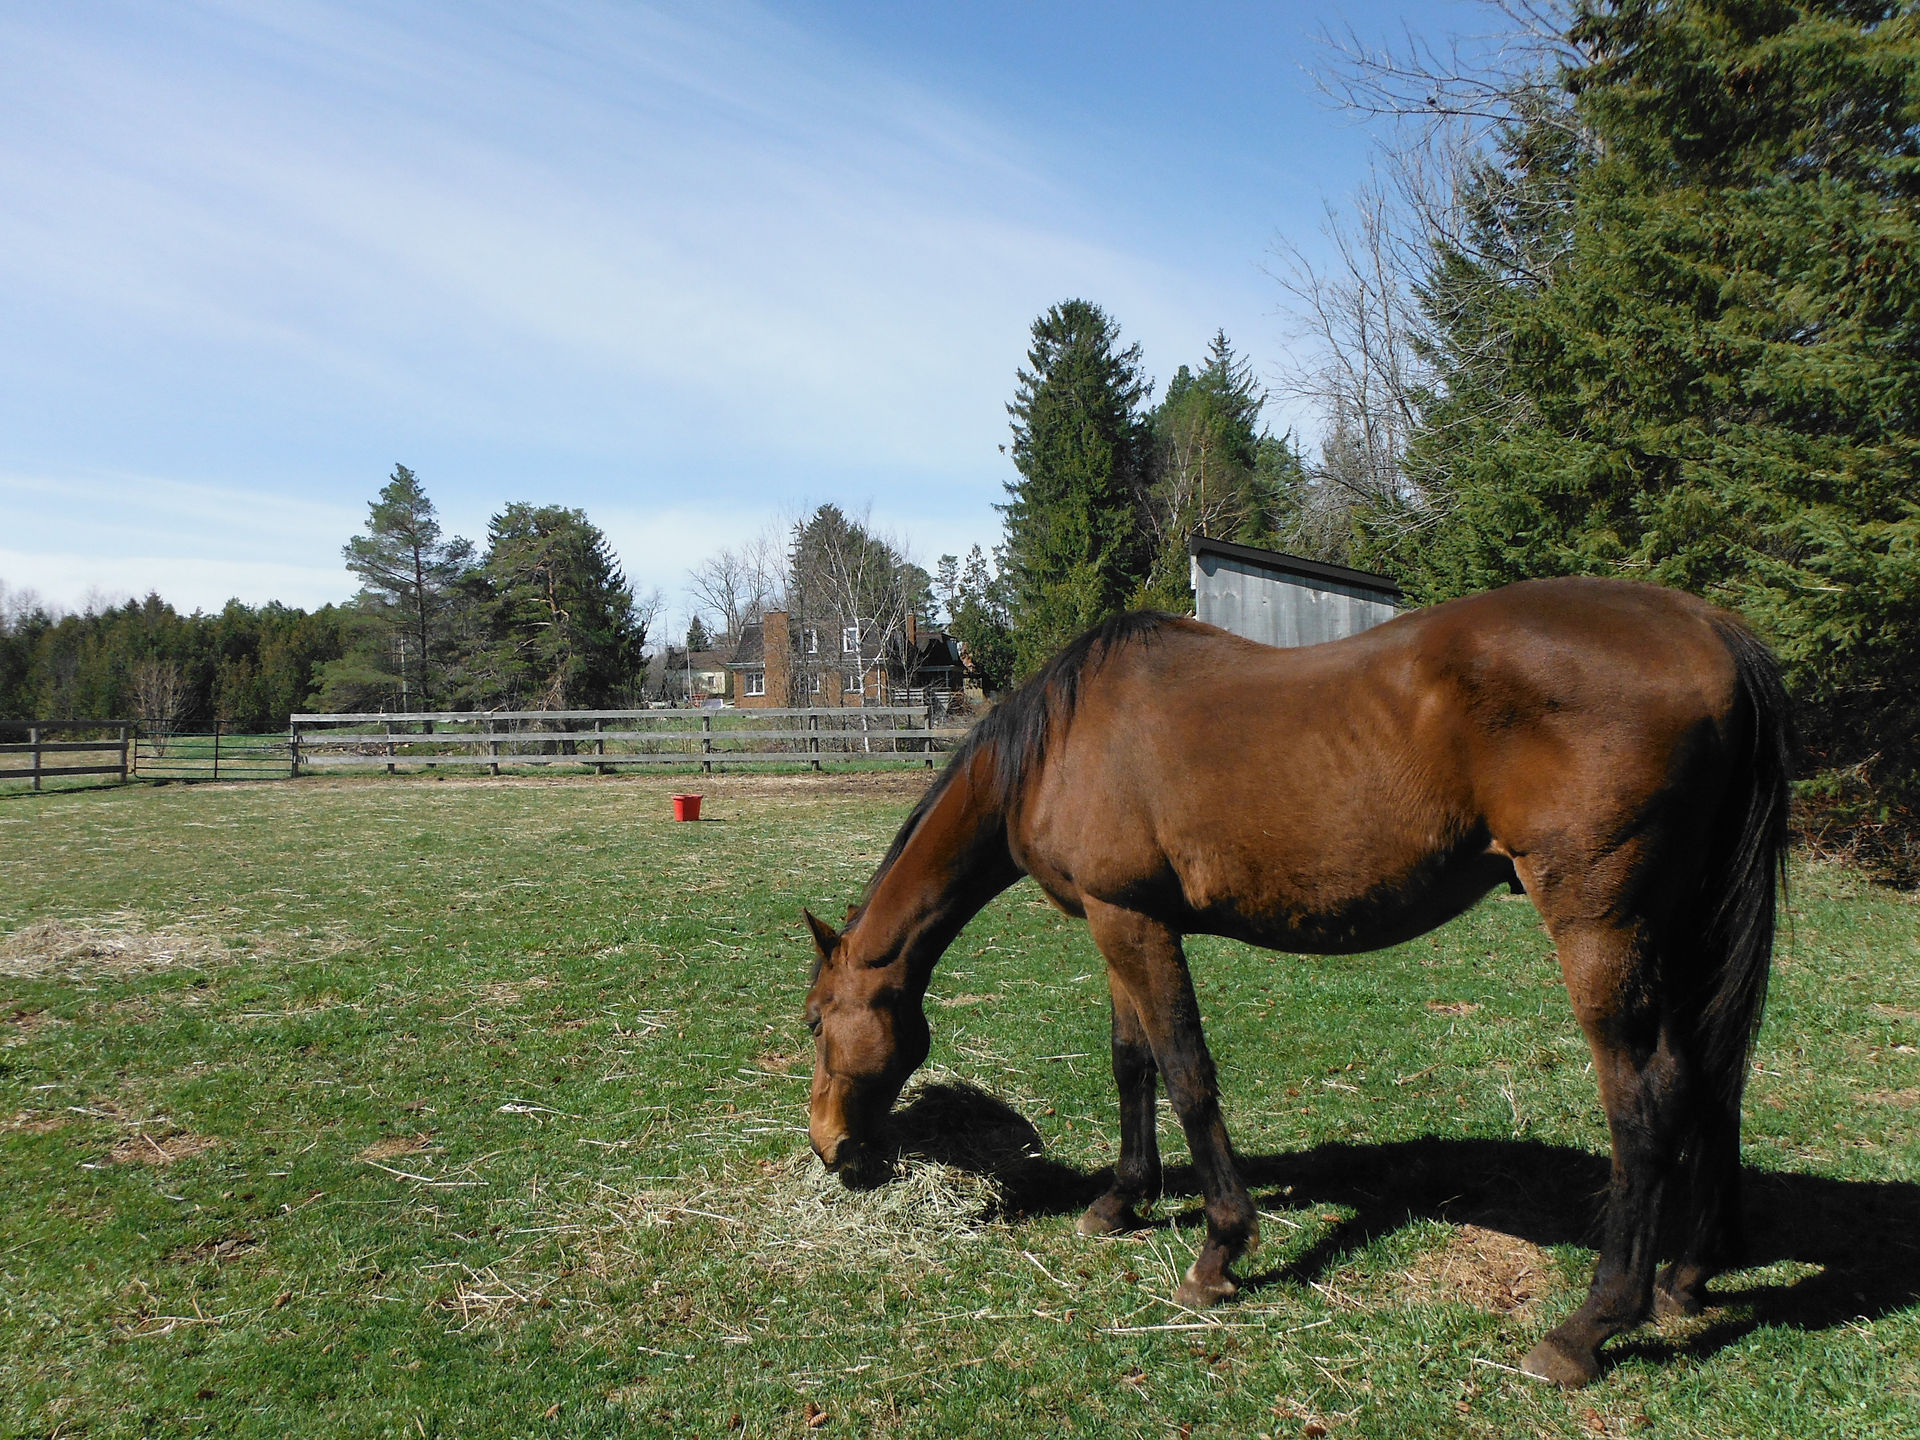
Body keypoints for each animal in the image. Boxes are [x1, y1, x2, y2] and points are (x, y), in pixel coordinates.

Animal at [801, 577, 1791, 1387]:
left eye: (814, 1021)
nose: (832, 1152)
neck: (1059, 746)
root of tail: (1709, 627)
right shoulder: (1120, 920)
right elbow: (1133, 1064)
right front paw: (1121, 1200)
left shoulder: (1132, 923)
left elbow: (1186, 1073)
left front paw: (1219, 1250)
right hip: (1683, 927)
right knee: (1708, 1076)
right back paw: (1690, 1276)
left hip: (1601, 927)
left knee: (1645, 1099)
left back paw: (1589, 1327)